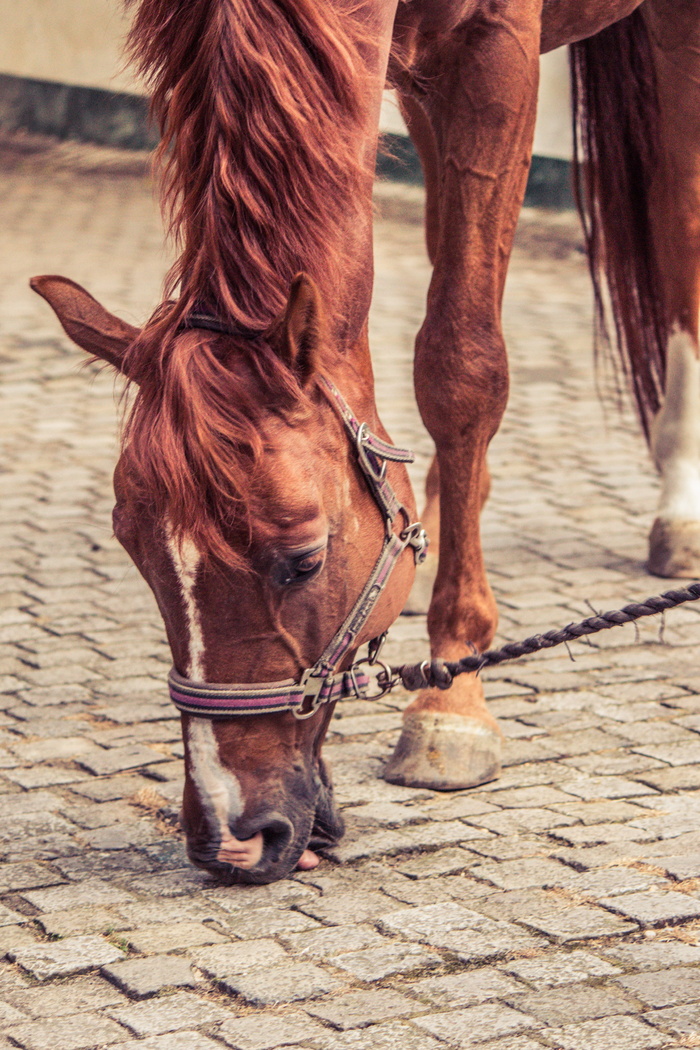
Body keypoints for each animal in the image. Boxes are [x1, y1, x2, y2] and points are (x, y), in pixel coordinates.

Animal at [35, 0, 700, 881]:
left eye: (304, 559)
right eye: (135, 551)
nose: (232, 838)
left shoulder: (494, 50)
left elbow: (462, 363)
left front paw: (452, 694)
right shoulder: (410, 71)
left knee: (681, 224)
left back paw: (679, 507)